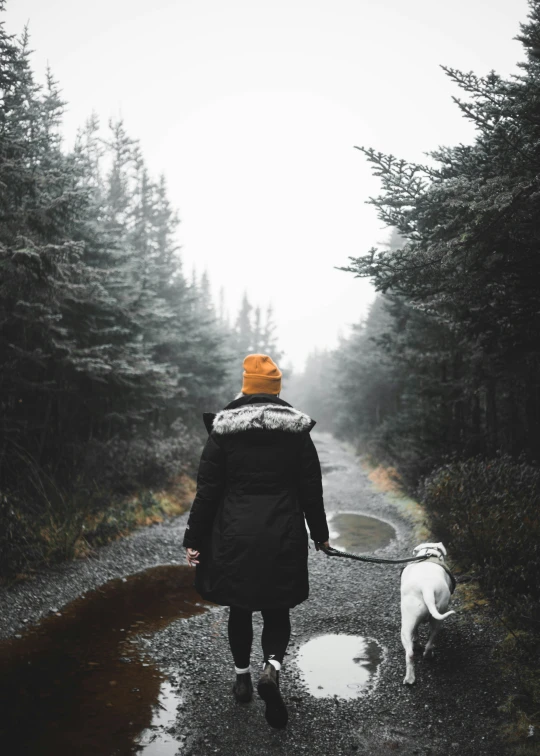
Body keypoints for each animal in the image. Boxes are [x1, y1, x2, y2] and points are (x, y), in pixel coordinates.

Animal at [400, 544, 456, 684]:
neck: (429, 553)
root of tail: (427, 588)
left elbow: (416, 632)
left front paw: (416, 640)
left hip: (406, 624)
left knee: (410, 652)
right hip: (439, 616)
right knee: (431, 639)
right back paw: (426, 657)